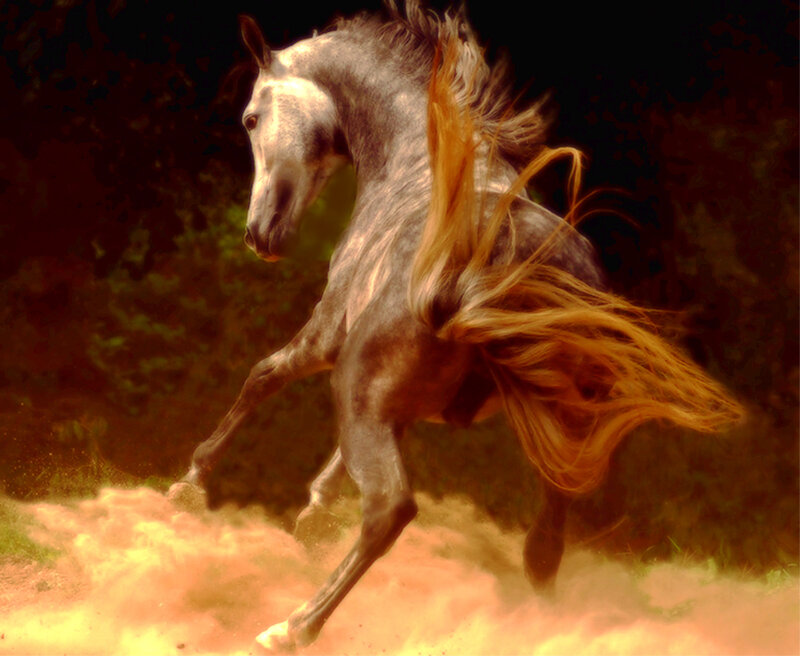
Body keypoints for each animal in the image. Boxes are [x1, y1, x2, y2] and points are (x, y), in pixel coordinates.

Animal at [168, 2, 742, 651]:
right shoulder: (395, 400)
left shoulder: (328, 335)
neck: (415, 161)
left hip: (359, 392)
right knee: (543, 548)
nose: (258, 234)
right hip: (561, 433)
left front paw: (191, 484)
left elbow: (262, 376)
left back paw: (291, 626)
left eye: (250, 118)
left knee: (390, 510)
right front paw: (314, 511)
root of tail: (496, 261)